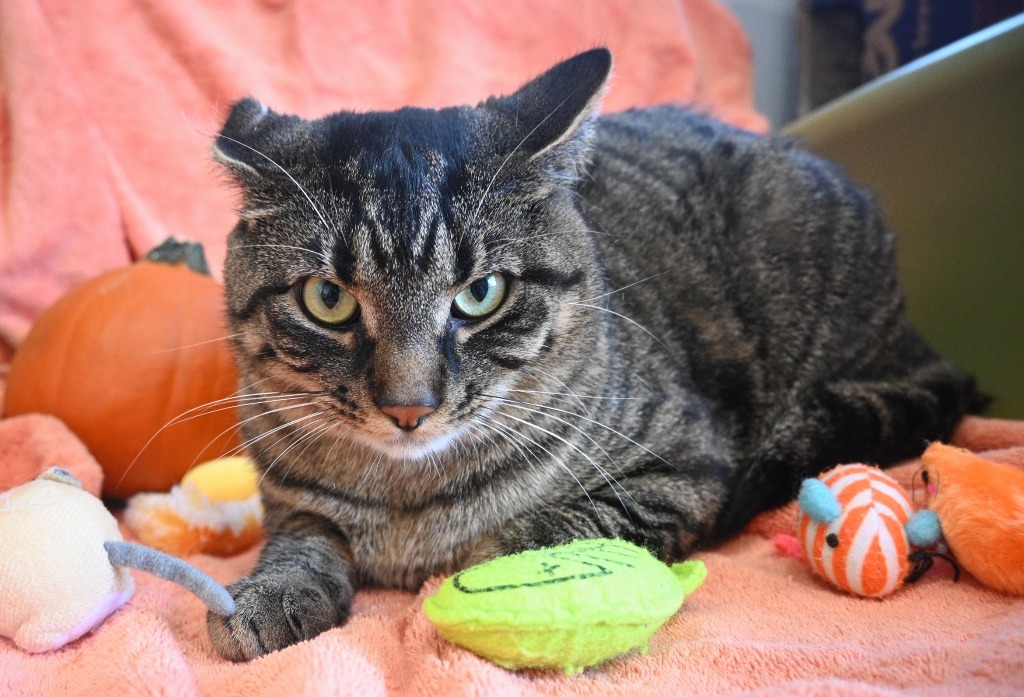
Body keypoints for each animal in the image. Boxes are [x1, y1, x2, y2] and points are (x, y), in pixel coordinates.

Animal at [203, 47, 978, 659]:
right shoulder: (289, 502)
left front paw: (477, 573)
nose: (408, 407)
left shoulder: (685, 465)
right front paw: (265, 594)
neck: (408, 499)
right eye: (327, 299)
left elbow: (545, 526)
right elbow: (302, 540)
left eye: (481, 293)